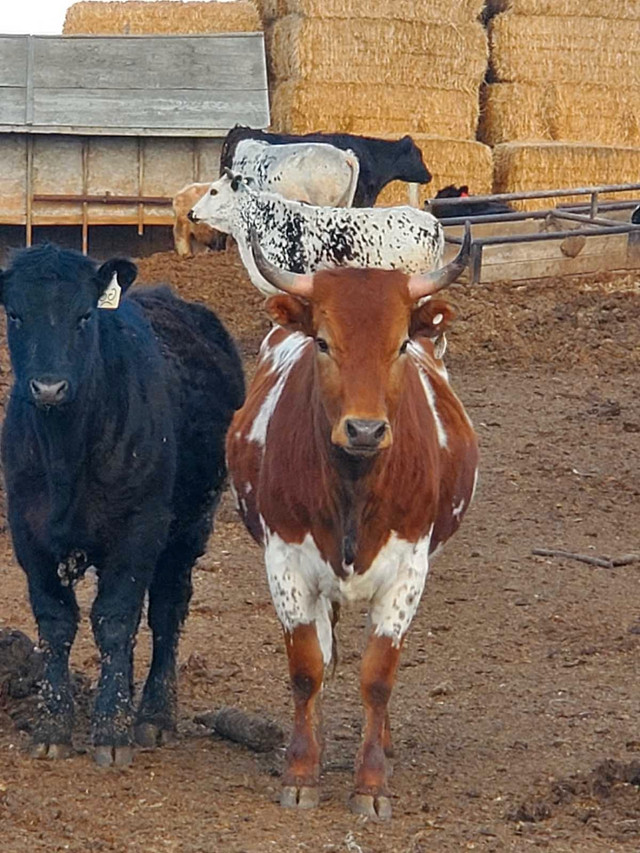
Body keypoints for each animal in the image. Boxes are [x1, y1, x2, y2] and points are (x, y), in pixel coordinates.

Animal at [0, 245, 245, 764]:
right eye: (14, 315)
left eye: (85, 315)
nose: (48, 387)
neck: (66, 453)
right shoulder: (28, 532)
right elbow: (56, 622)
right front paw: (53, 726)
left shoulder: (138, 529)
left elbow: (114, 620)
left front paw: (111, 730)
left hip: (188, 528)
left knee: (165, 612)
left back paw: (153, 715)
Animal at [228, 231, 478, 820]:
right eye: (323, 342)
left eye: (401, 345)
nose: (365, 430)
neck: (353, 486)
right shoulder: (286, 561)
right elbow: (307, 668)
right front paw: (301, 770)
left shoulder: (409, 569)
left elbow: (378, 677)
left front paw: (371, 782)